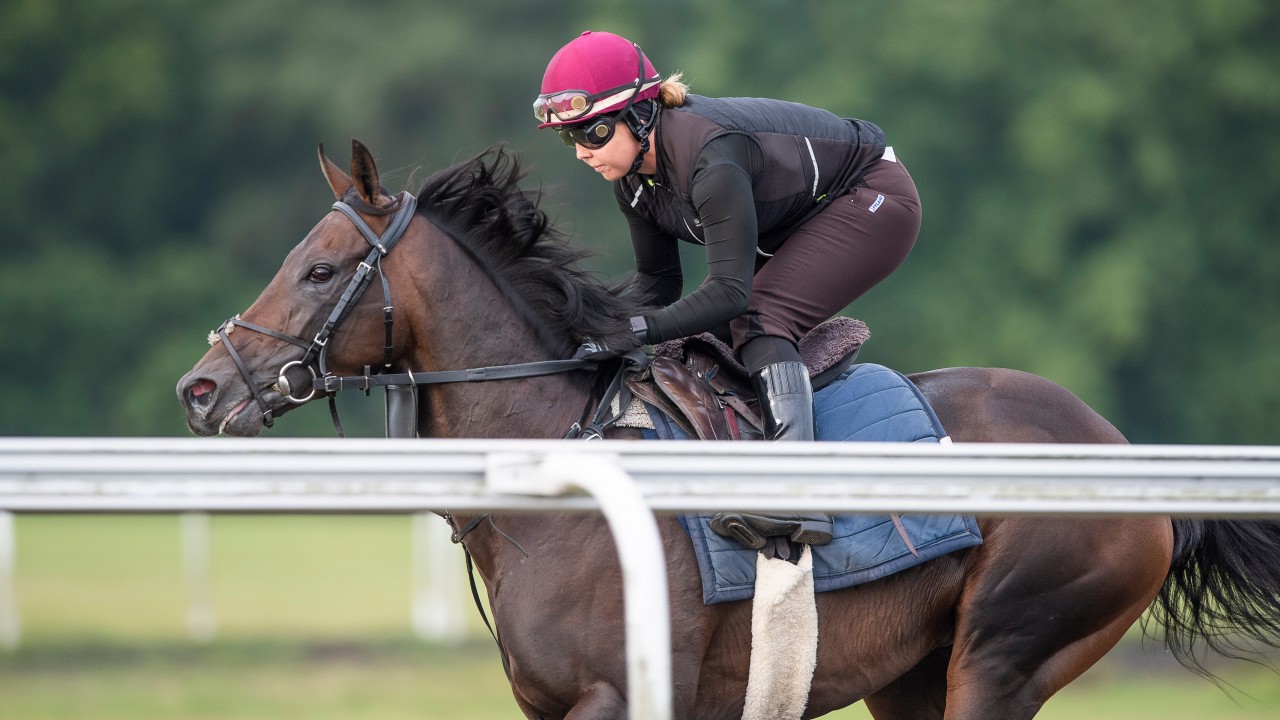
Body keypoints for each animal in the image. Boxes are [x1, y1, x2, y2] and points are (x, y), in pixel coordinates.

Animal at [177, 140, 1280, 719]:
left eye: (320, 269)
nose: (199, 386)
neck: (551, 479)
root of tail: (1123, 451)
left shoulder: (617, 696)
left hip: (1005, 653)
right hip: (915, 676)